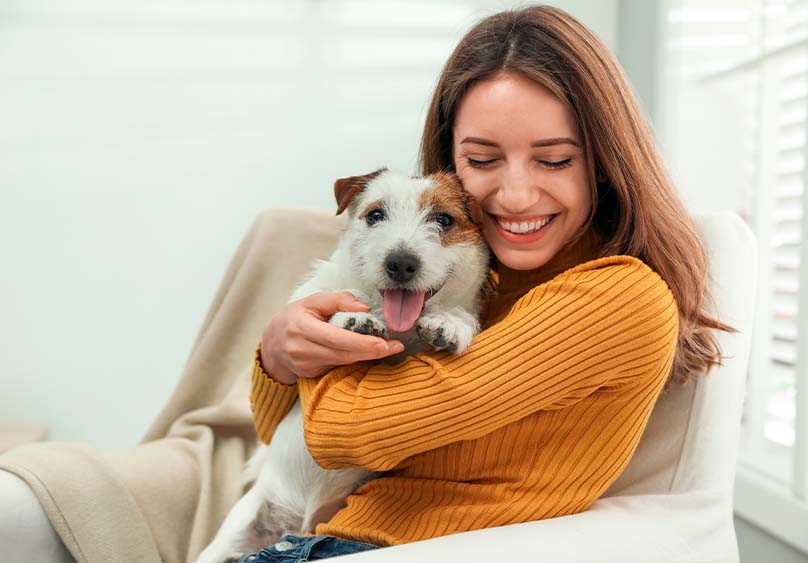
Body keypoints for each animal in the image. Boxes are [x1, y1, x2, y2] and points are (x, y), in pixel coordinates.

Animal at [196, 167, 490, 563]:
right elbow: (337, 297)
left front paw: (451, 323)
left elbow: (458, 315)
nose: (400, 263)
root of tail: (296, 525)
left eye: (444, 220)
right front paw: (354, 316)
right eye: (375, 214)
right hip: (235, 531)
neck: (398, 327)